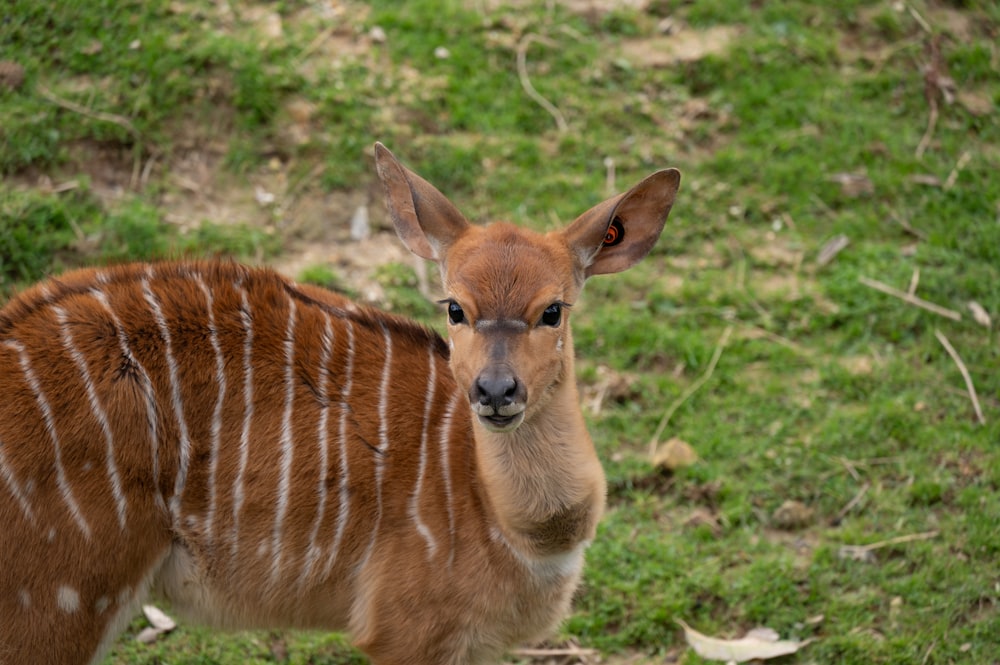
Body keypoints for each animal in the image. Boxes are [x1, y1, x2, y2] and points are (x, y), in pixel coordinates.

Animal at [0, 145, 680, 664]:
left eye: (553, 310)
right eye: (454, 307)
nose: (494, 391)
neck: (514, 528)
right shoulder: (406, 634)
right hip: (58, 602)